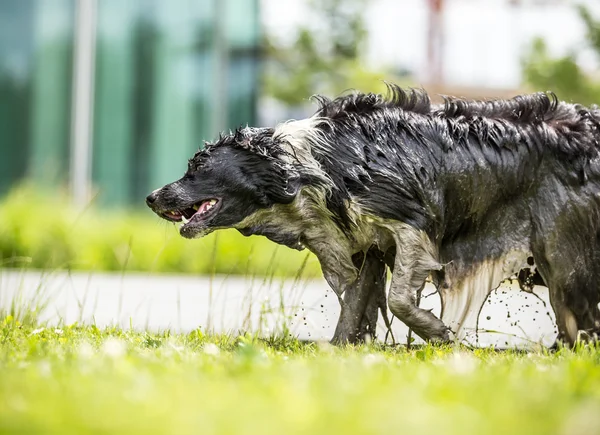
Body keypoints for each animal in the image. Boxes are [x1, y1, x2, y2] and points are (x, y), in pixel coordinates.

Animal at [145, 86, 600, 348]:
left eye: (198, 167)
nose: (151, 197)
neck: (315, 166)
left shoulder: (412, 224)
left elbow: (398, 299)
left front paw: (438, 332)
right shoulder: (365, 246)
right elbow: (355, 305)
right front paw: (341, 349)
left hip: (562, 250)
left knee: (577, 308)